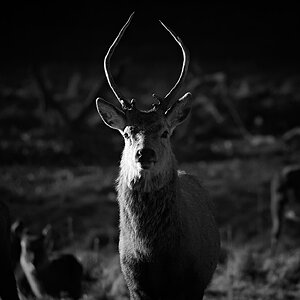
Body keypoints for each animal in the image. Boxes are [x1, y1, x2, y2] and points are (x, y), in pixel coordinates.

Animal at [96, 13, 220, 300]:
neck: (157, 256)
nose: (145, 153)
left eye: (165, 132)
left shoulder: (194, 282)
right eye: (127, 133)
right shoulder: (135, 284)